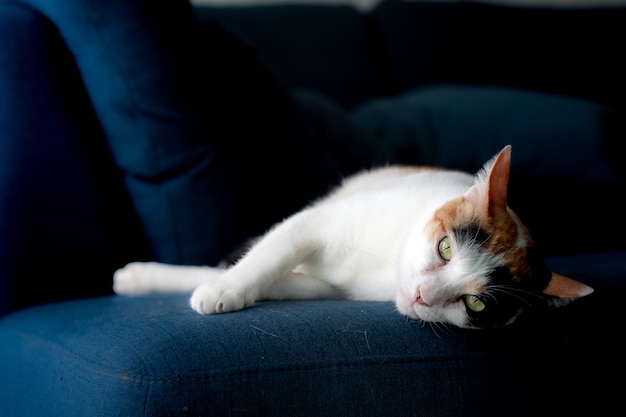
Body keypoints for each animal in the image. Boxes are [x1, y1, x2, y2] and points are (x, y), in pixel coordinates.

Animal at [114, 145, 592, 328]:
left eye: (477, 304)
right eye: (445, 248)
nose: (422, 295)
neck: (385, 261)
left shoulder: (327, 287)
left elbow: (278, 279)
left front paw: (224, 287)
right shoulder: (313, 223)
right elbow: (265, 257)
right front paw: (219, 288)